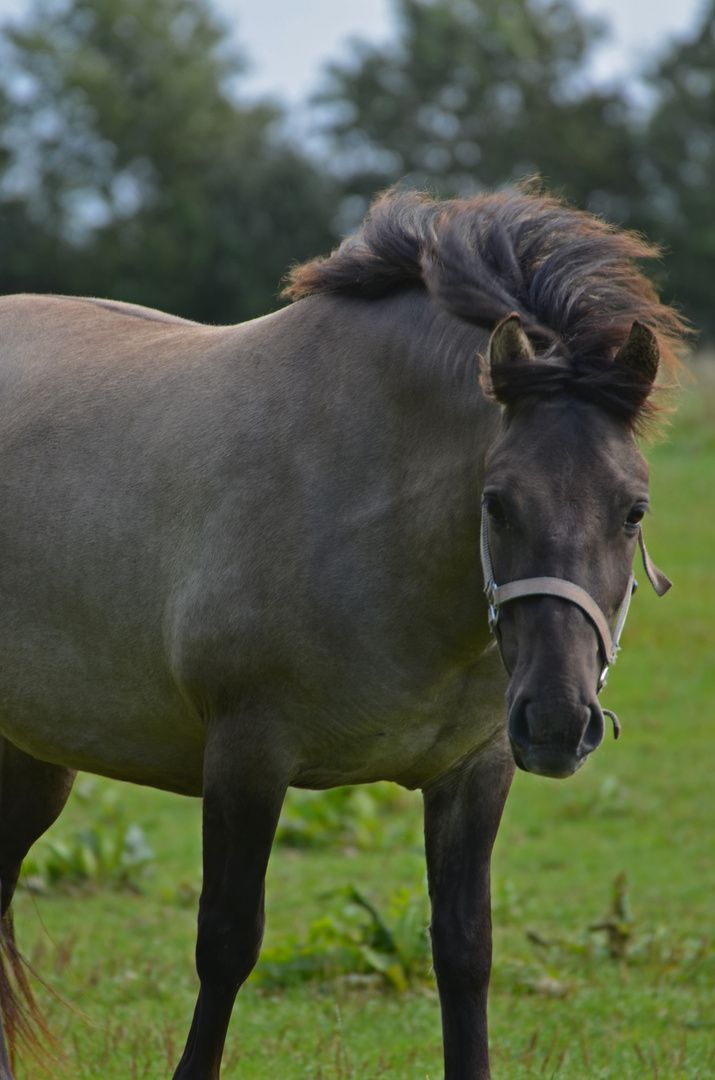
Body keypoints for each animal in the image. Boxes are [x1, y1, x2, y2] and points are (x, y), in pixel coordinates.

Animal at [0, 190, 691, 1075]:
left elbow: (464, 951)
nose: (556, 721)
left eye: (632, 509)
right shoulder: (247, 756)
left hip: (33, 759)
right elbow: (227, 942)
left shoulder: (474, 771)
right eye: (496, 503)